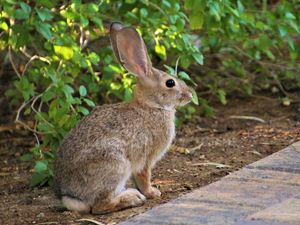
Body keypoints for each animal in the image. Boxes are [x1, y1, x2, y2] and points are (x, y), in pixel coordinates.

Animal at [53, 22, 192, 214]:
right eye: (170, 83)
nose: (190, 95)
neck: (151, 106)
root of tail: (72, 197)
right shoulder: (145, 158)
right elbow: (144, 177)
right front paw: (152, 193)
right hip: (116, 164)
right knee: (99, 206)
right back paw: (132, 198)